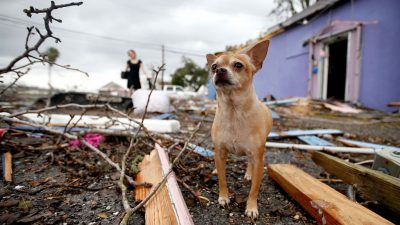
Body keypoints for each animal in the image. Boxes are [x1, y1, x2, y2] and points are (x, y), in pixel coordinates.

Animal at [206, 39, 272, 219]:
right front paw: (223, 197)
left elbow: (254, 189)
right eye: (214, 66)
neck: (233, 111)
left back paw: (249, 174)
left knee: (250, 162)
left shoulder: (258, 157)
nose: (219, 70)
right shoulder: (220, 152)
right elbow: (223, 180)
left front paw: (251, 207)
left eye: (238, 65)